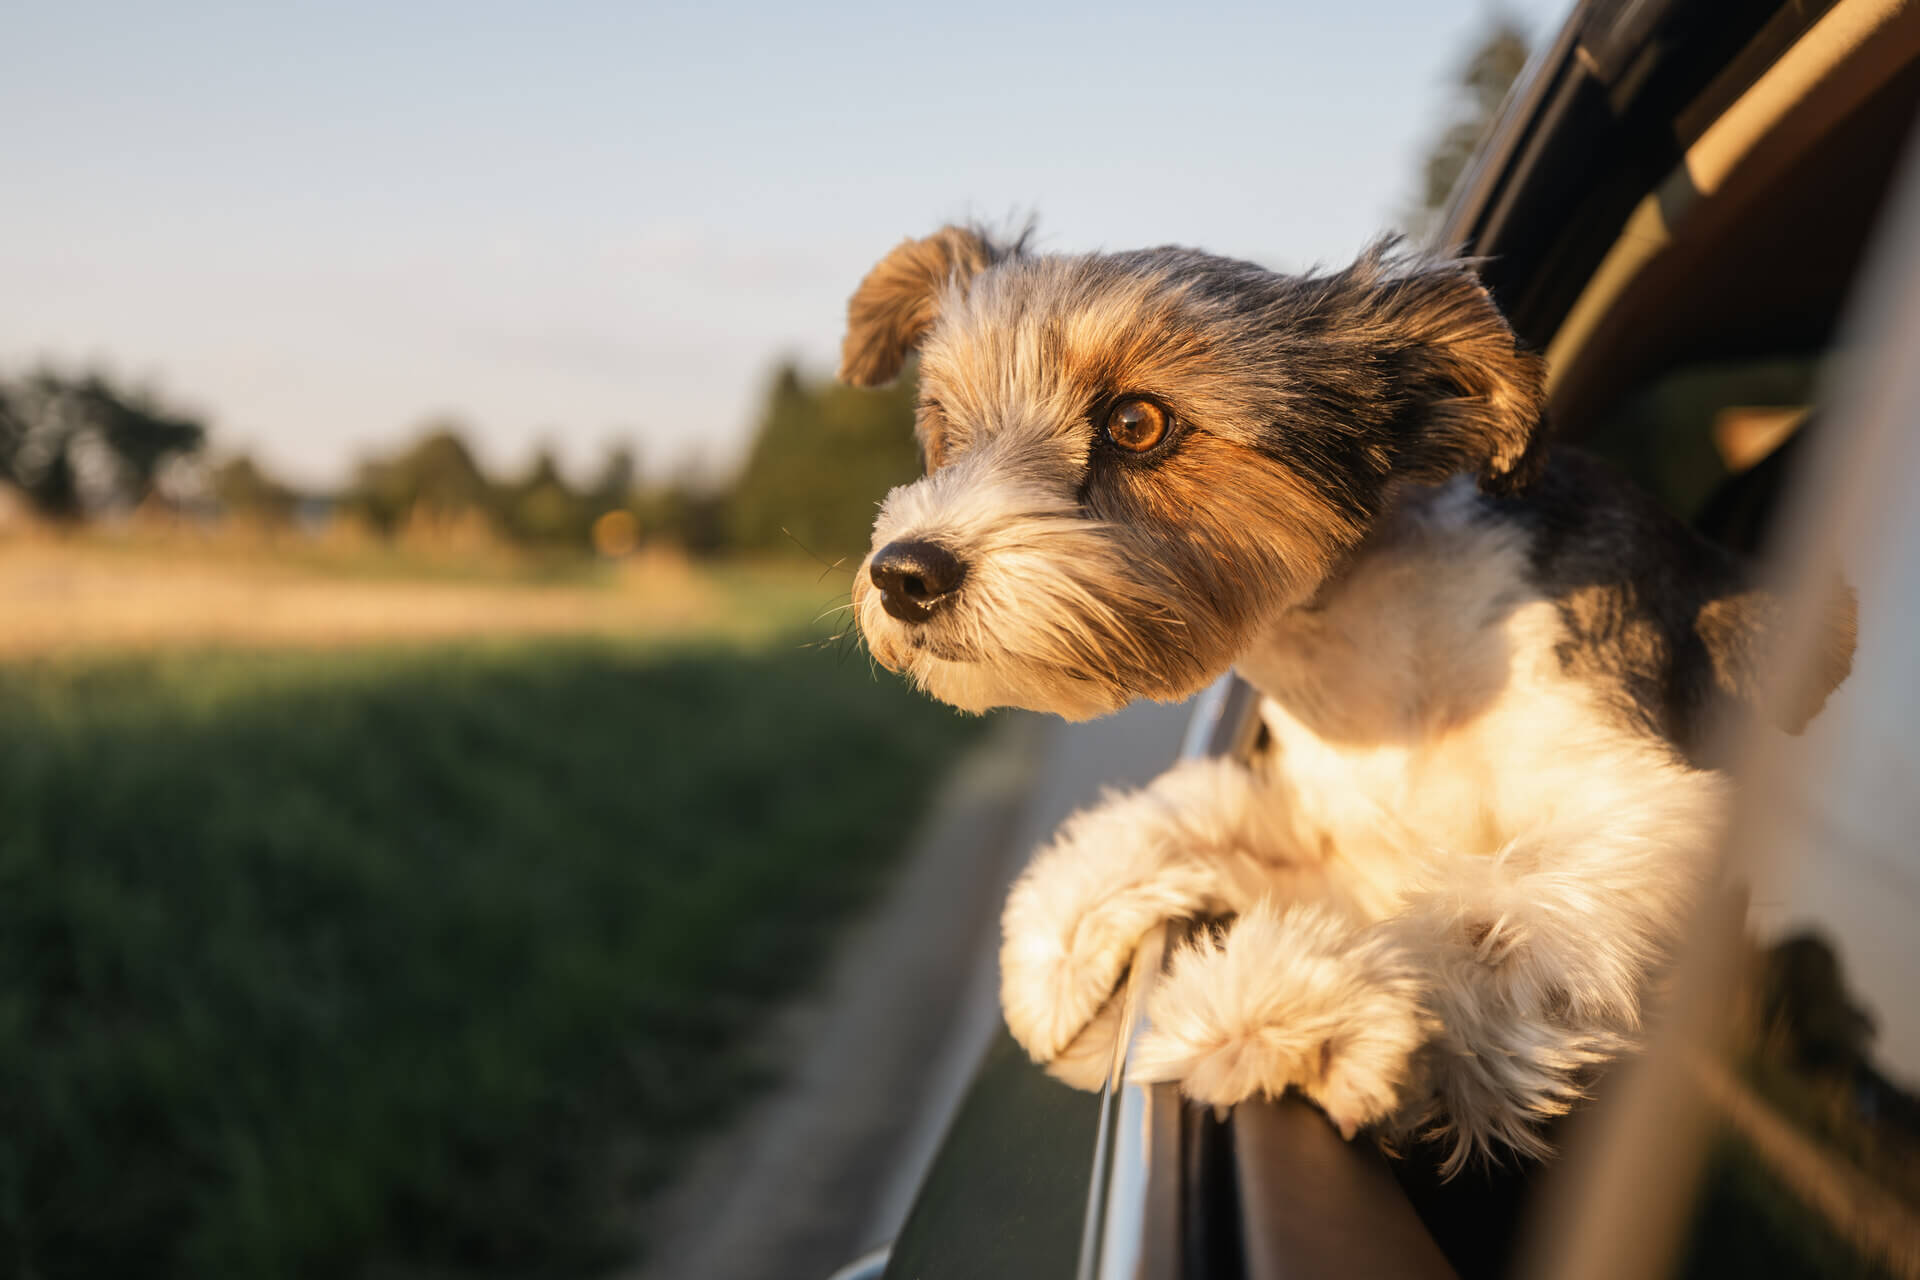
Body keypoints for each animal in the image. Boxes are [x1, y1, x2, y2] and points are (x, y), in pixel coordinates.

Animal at [837, 227, 1843, 1174]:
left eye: (1135, 421)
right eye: (946, 426)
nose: (906, 574)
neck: (1379, 648)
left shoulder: (1651, 810)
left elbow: (1490, 913)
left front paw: (1298, 1008)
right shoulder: (1338, 830)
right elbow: (1185, 815)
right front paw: (1057, 941)